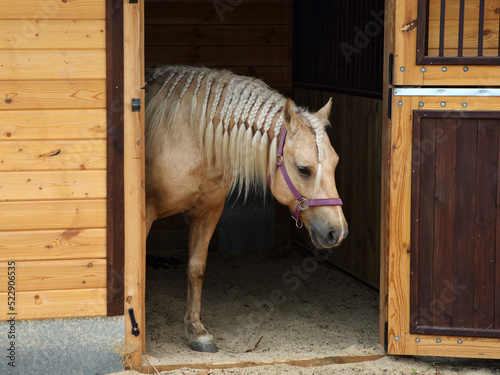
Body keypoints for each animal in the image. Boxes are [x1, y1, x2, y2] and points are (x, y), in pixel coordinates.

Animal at [145, 66, 348, 354]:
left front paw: (197, 332)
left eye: (335, 163)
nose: (337, 232)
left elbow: (196, 268)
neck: (190, 138)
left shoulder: (208, 213)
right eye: (303, 169)